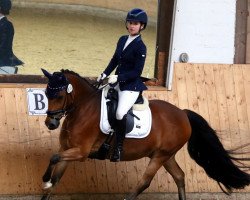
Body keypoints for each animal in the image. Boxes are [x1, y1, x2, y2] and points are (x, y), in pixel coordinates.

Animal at [41, 69, 250, 200]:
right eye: (46, 94)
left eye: (59, 96)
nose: (51, 123)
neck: (83, 109)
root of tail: (183, 113)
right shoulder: (68, 149)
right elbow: (56, 173)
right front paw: (48, 183)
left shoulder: (81, 152)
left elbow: (53, 157)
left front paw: (45, 180)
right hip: (165, 155)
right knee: (180, 176)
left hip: (160, 156)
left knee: (145, 182)